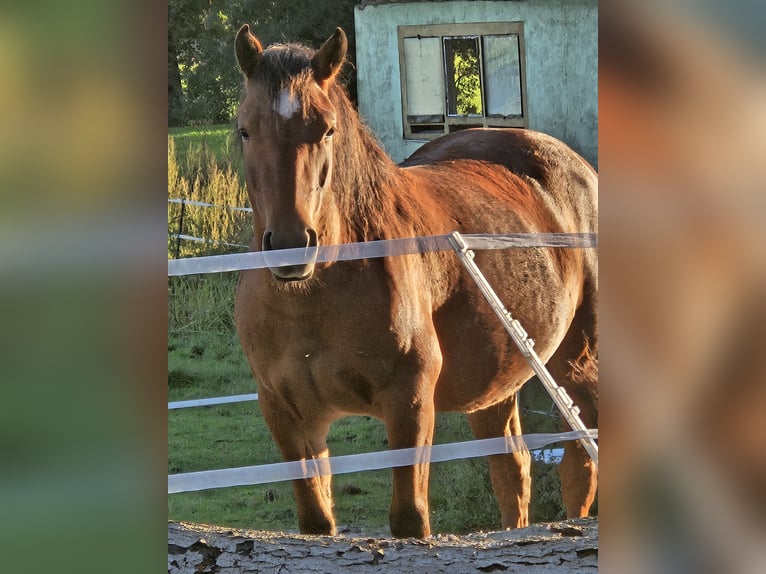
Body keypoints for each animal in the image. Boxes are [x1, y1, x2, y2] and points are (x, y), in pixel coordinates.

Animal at [234, 27, 600, 540]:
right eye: (246, 130)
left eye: (326, 129)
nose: (290, 243)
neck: (313, 300)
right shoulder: (287, 415)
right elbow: (317, 522)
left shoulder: (408, 403)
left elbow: (410, 519)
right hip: (497, 382)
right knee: (513, 470)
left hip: (578, 364)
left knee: (579, 465)